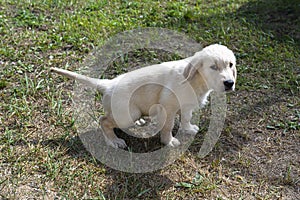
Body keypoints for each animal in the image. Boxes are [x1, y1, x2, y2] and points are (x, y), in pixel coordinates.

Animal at [51, 44, 237, 149]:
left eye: (230, 65)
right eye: (213, 67)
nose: (229, 83)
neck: (196, 80)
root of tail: (108, 84)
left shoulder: (187, 105)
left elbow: (186, 118)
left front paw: (188, 128)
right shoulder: (168, 107)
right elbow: (168, 127)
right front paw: (168, 141)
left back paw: (139, 121)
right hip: (127, 113)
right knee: (104, 120)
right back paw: (114, 141)